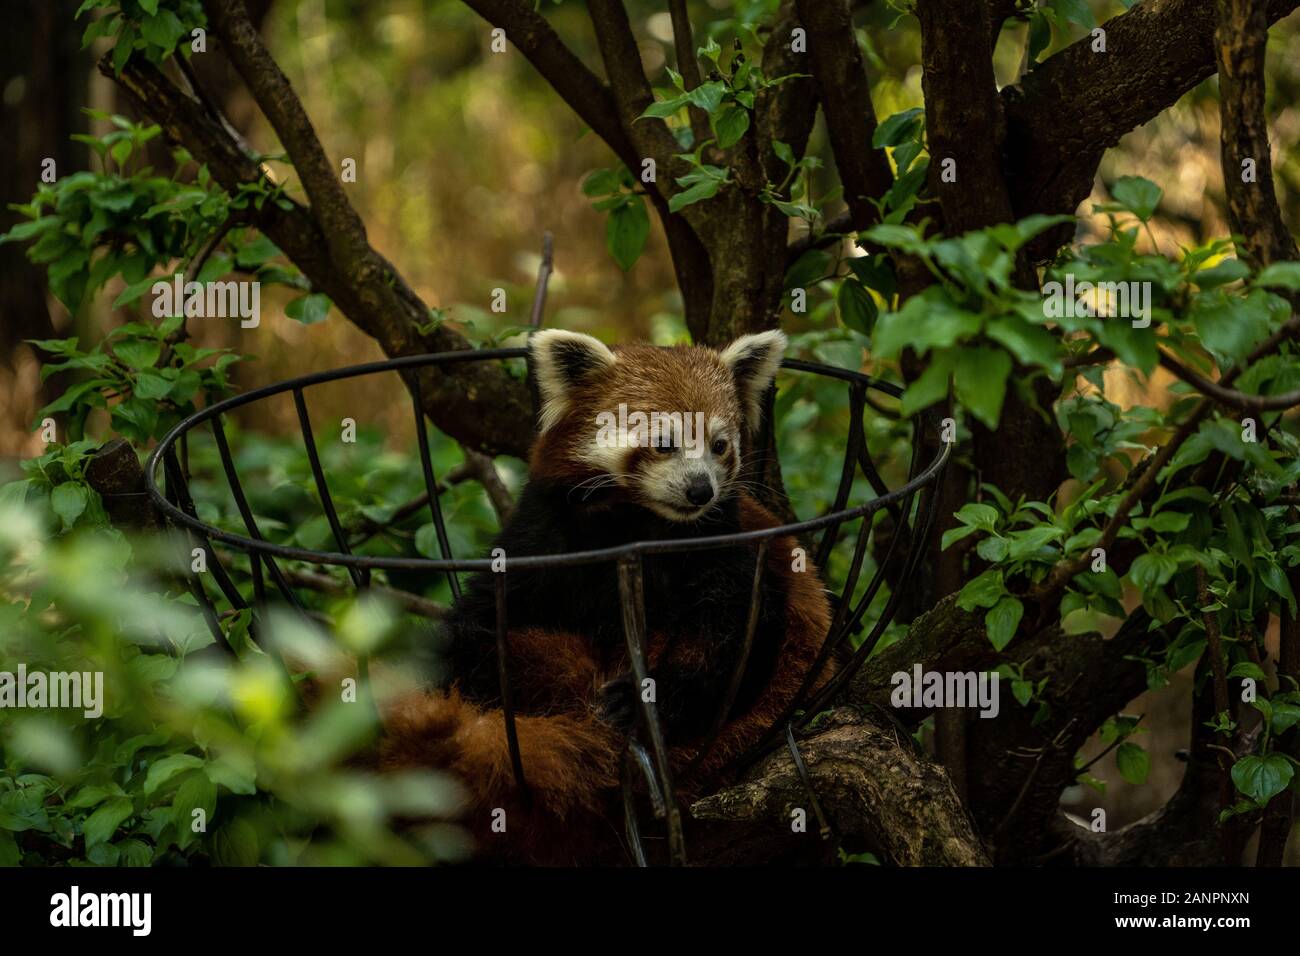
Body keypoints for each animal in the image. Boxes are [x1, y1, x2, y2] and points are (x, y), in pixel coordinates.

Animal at [374, 330, 832, 868]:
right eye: (664, 443)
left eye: (720, 445)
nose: (701, 489)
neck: (634, 521)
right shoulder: (545, 529)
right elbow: (489, 607)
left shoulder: (729, 544)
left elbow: (733, 639)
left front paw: (641, 701)